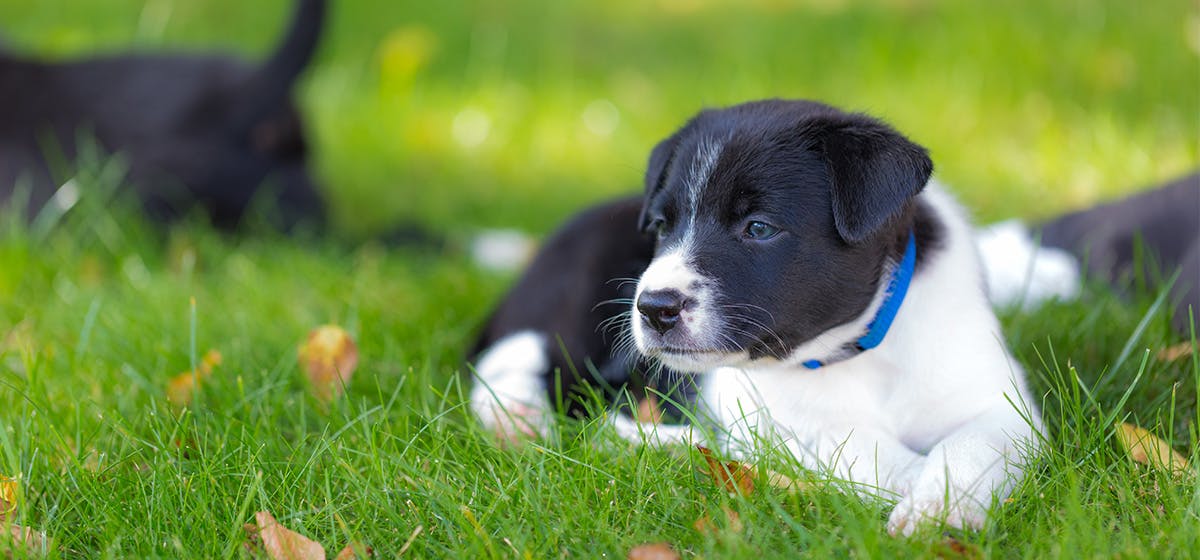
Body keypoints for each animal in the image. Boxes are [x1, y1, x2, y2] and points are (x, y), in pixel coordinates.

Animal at [472, 99, 1036, 534]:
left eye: (759, 228)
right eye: (662, 225)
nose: (654, 307)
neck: (855, 349)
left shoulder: (1001, 405)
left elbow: (972, 445)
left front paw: (939, 510)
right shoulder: (761, 410)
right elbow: (846, 443)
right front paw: (915, 491)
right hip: (571, 294)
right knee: (511, 358)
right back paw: (517, 419)